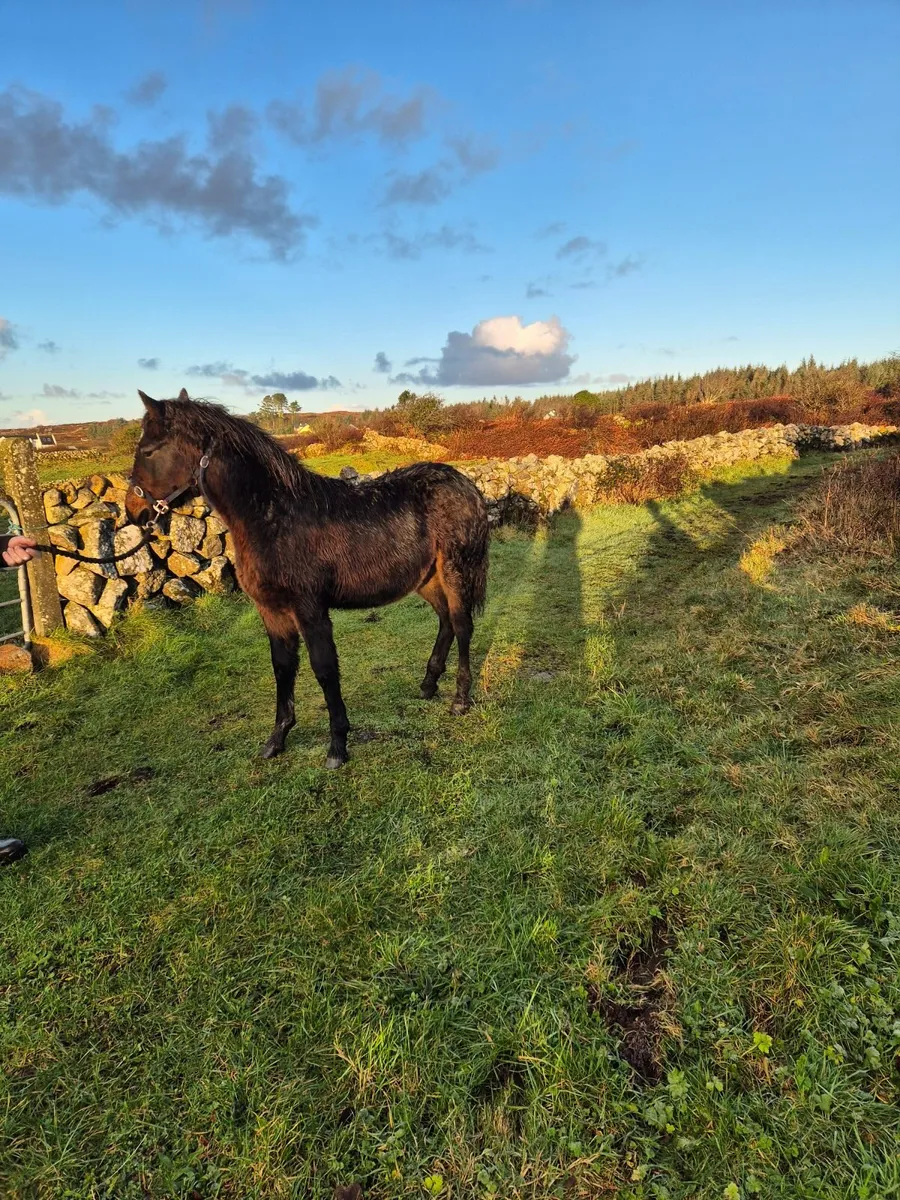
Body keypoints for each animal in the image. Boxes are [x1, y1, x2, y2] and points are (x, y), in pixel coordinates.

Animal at [125, 390, 489, 768]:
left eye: (148, 451)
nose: (133, 511)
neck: (274, 518)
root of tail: (467, 485)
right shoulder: (272, 611)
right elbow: (283, 667)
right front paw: (276, 739)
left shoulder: (310, 608)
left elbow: (324, 668)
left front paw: (338, 746)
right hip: (426, 579)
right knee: (445, 621)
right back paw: (429, 684)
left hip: (456, 570)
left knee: (462, 625)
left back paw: (460, 698)